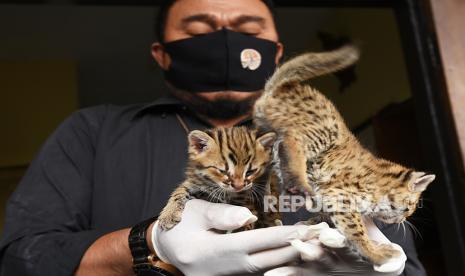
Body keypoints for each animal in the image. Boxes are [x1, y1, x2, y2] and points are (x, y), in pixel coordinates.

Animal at [252, 45, 434, 266]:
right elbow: (357, 231)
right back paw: (298, 182)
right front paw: (375, 253)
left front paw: (312, 222)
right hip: (323, 132)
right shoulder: (342, 198)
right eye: (409, 208)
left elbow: (324, 217)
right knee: (292, 141)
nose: (403, 220)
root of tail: (282, 86)